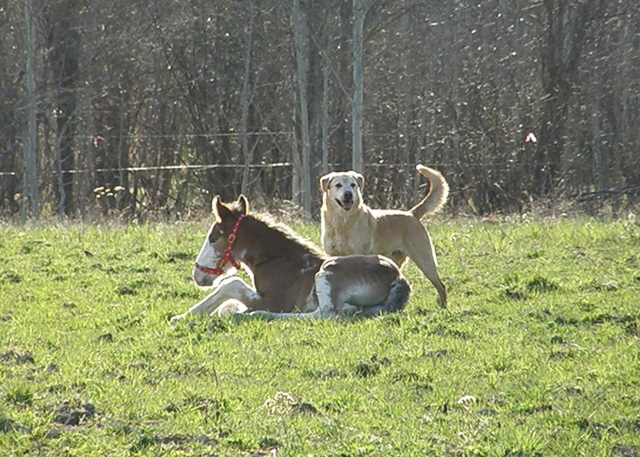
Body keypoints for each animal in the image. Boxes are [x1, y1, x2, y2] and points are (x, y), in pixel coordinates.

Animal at [320, 163, 450, 306]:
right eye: (338, 185)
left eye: (353, 185)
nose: (348, 194)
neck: (342, 221)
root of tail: (411, 214)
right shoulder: (332, 255)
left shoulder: (357, 254)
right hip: (396, 261)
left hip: (425, 261)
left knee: (441, 285)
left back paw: (442, 307)